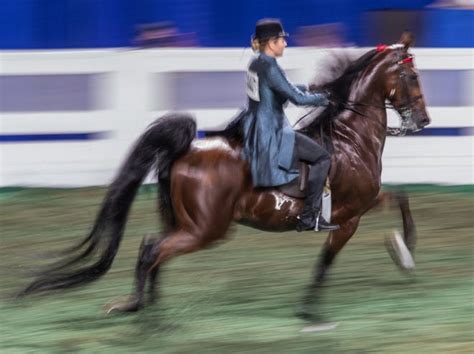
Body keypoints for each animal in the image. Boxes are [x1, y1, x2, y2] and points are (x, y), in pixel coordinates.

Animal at [20, 31, 430, 322]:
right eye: (411, 74)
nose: (424, 121)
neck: (349, 139)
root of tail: (182, 150)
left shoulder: (363, 203)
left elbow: (400, 197)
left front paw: (403, 250)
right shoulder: (348, 218)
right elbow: (326, 262)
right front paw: (311, 310)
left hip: (185, 223)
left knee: (150, 249)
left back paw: (152, 311)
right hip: (205, 229)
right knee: (152, 252)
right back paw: (142, 313)